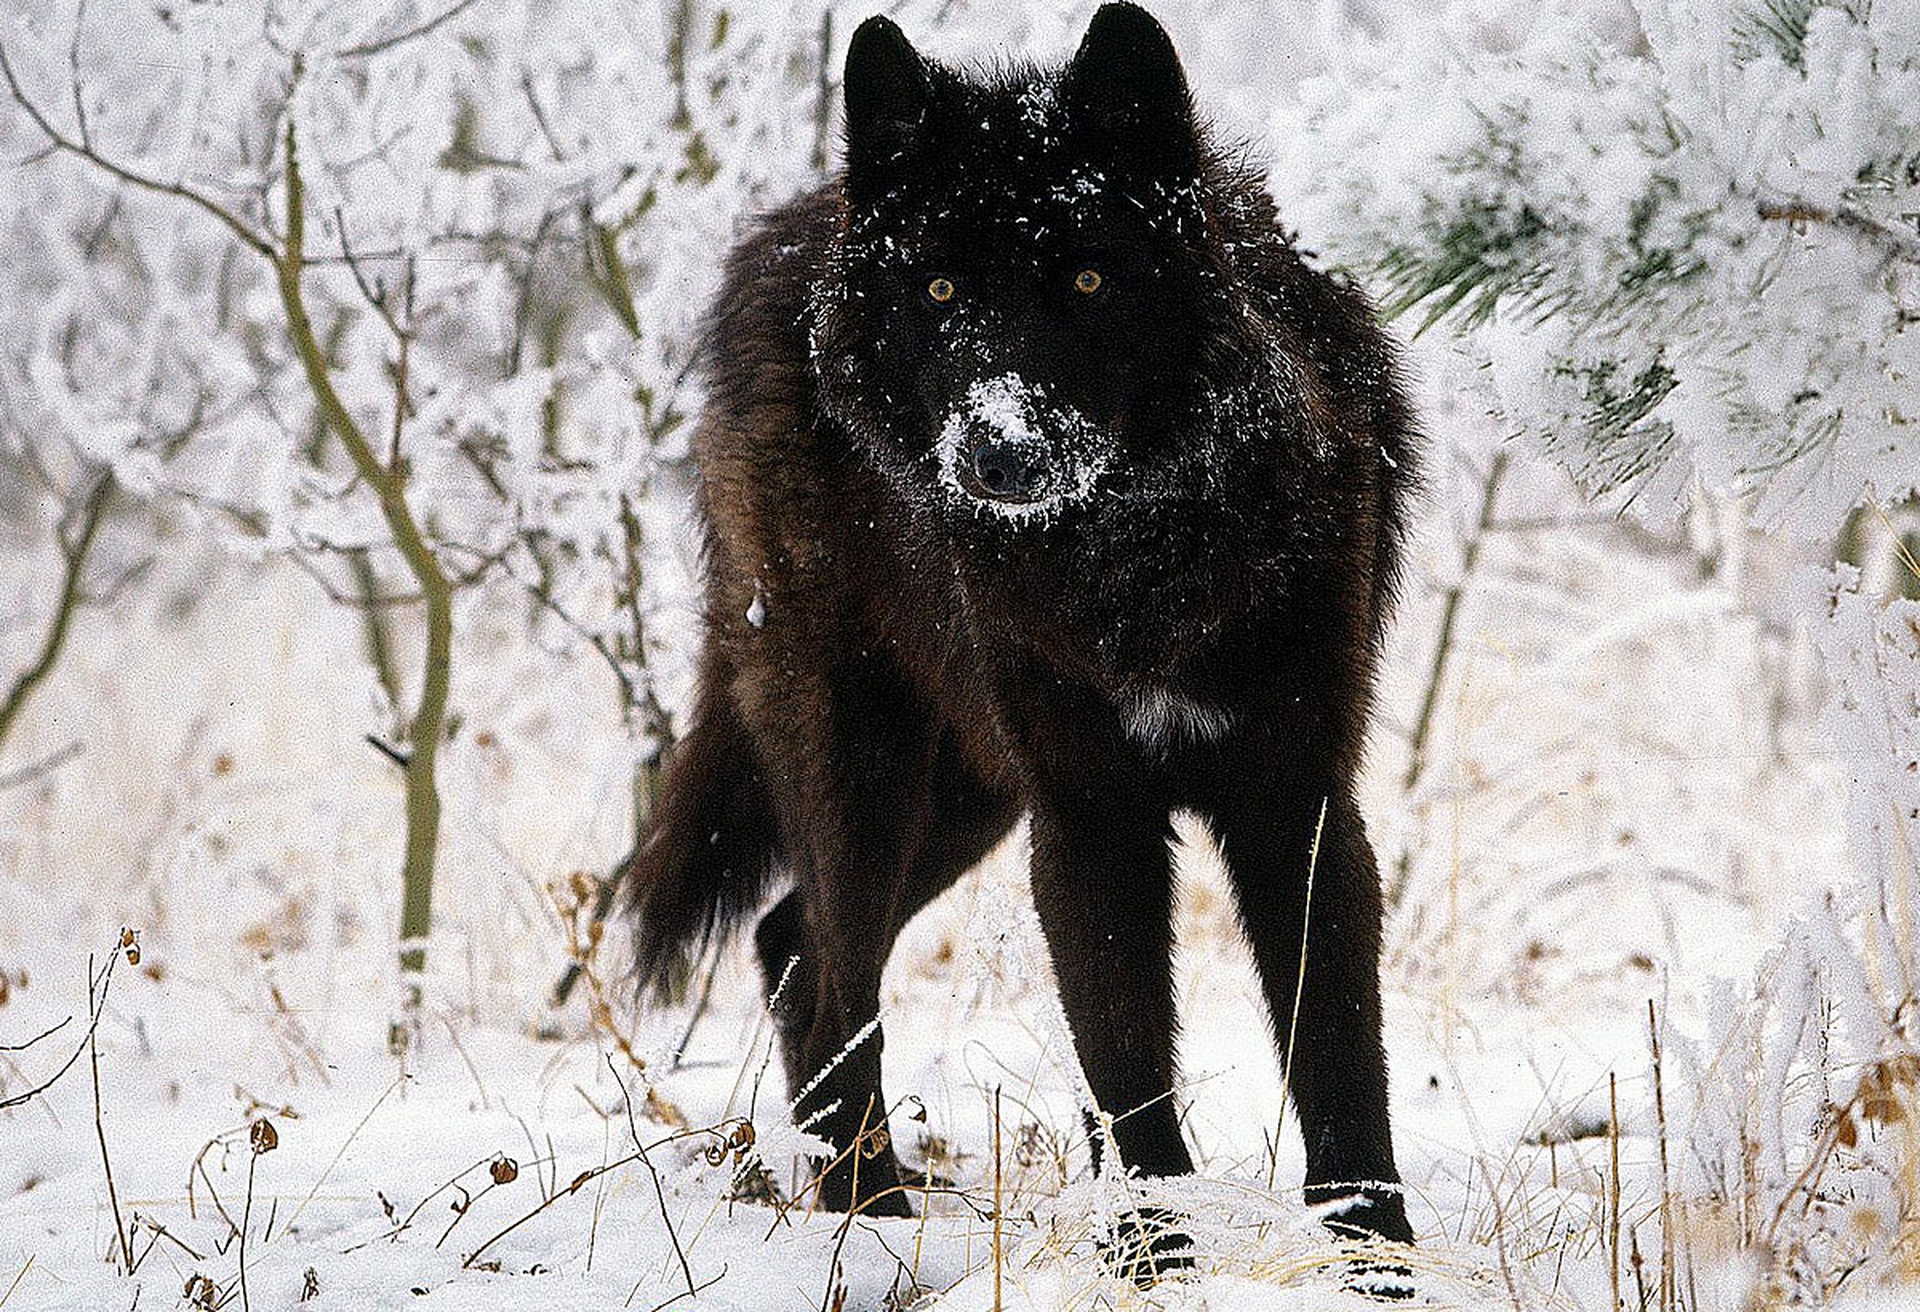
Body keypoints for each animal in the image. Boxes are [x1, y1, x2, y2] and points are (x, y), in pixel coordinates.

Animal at [622, 2, 1420, 1252]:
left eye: (1089, 277)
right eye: (943, 292)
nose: (998, 453)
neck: (1134, 561)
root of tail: (790, 231)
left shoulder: (1294, 799)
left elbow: (1338, 1056)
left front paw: (1378, 1256)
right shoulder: (1088, 815)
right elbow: (1128, 1070)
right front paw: (1154, 1254)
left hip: (971, 796)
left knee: (790, 943)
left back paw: (862, 1200)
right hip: (869, 772)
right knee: (831, 965)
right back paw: (871, 1206)